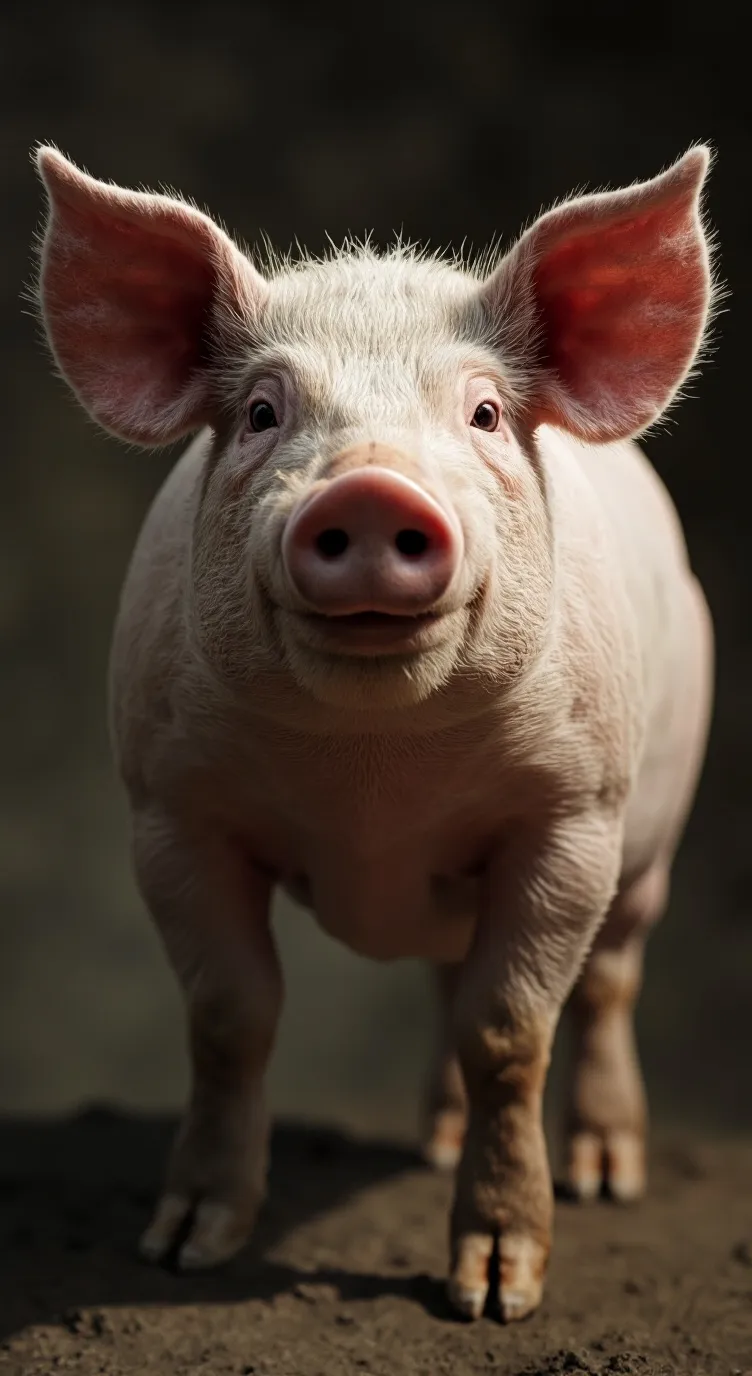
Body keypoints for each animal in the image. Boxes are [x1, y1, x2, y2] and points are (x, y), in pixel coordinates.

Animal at [33, 142, 715, 1322]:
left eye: (483, 414)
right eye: (263, 412)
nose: (366, 488)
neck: (376, 783)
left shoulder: (572, 816)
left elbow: (511, 1029)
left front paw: (494, 1295)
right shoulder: (168, 809)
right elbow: (229, 1014)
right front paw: (181, 1249)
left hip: (652, 833)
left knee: (610, 979)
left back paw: (603, 1173)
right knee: (444, 981)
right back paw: (432, 1144)